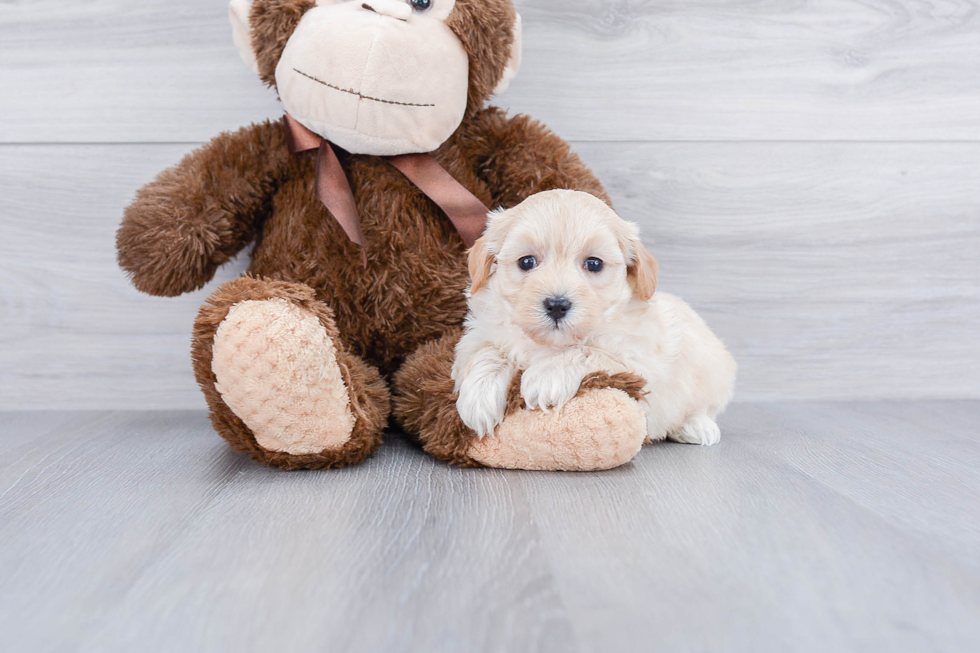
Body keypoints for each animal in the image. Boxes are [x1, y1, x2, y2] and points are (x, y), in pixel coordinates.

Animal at [452, 188, 736, 444]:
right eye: (526, 262)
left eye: (594, 264)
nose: (557, 304)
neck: (550, 345)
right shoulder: (480, 334)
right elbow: (488, 351)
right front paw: (479, 396)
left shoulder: (641, 362)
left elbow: (589, 352)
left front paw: (546, 376)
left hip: (714, 372)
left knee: (703, 408)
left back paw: (696, 426)